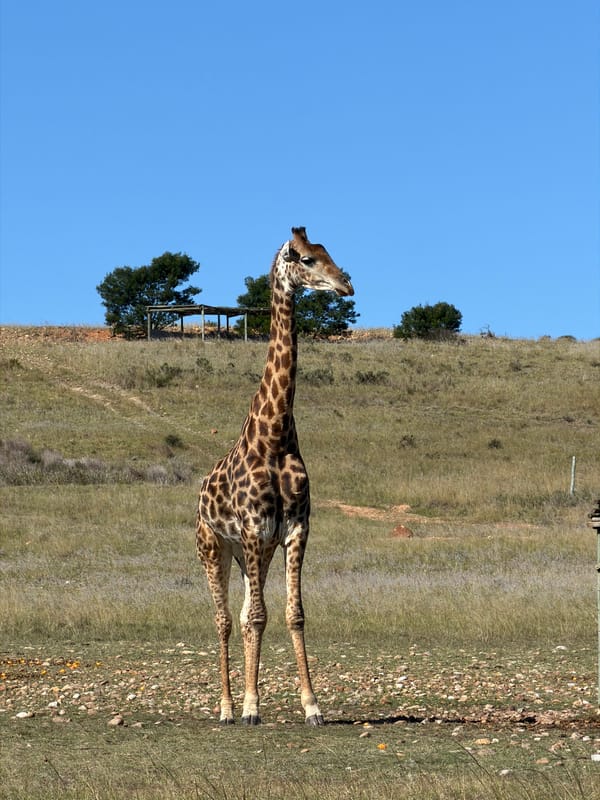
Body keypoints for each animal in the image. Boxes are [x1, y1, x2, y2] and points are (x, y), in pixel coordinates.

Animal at [196, 226, 354, 725]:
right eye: (303, 259)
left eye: (327, 252)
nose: (346, 284)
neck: (276, 436)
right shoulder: (252, 528)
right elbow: (258, 617)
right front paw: (249, 706)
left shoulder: (294, 528)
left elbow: (292, 614)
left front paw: (312, 706)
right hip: (214, 547)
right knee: (225, 619)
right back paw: (228, 708)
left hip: (255, 554)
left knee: (247, 612)